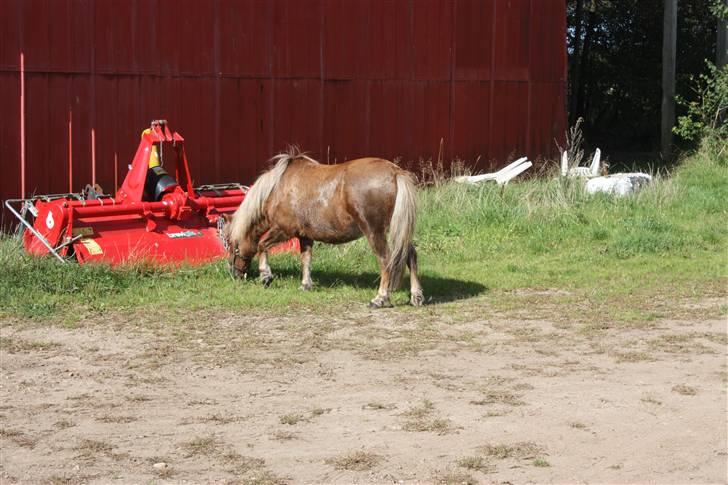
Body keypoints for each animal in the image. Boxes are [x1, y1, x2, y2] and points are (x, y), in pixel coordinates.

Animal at [225, 147, 424, 306]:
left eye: (231, 245)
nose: (234, 274)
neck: (278, 188)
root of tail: (395, 172)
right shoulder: (305, 236)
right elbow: (305, 259)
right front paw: (305, 285)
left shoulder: (284, 230)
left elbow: (262, 245)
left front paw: (265, 276)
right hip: (396, 230)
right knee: (410, 255)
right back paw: (416, 296)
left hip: (375, 232)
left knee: (385, 260)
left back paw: (380, 298)